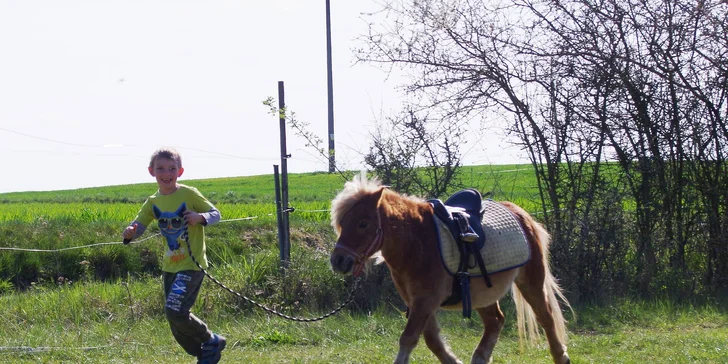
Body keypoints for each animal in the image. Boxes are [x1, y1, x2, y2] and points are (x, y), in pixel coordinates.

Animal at [330, 173, 576, 364]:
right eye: (342, 223)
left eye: (363, 223)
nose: (338, 260)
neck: (416, 241)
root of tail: (520, 213)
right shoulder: (418, 301)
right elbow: (431, 340)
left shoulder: (426, 300)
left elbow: (409, 338)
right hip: (482, 293)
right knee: (495, 321)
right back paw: (479, 358)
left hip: (531, 282)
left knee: (546, 317)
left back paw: (561, 356)